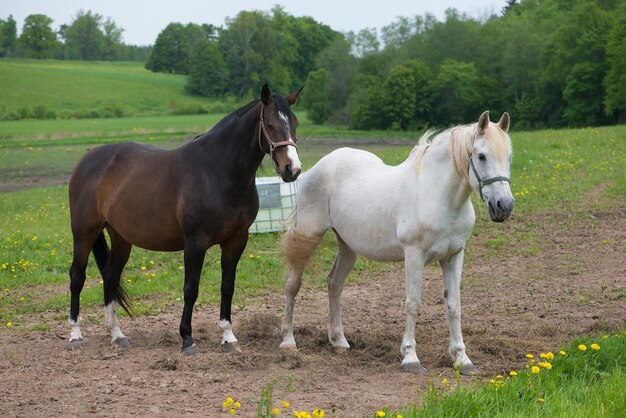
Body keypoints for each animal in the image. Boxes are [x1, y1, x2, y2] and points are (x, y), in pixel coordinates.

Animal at [67, 85, 302, 356]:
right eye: (270, 124)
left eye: (295, 123)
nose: (292, 169)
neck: (218, 172)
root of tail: (87, 159)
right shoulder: (195, 243)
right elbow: (191, 289)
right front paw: (187, 339)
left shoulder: (236, 241)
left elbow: (228, 287)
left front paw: (228, 337)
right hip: (84, 231)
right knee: (77, 276)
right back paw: (75, 335)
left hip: (121, 237)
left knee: (110, 275)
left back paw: (117, 335)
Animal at [278, 110, 512, 372]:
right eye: (481, 156)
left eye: (509, 156)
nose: (504, 206)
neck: (438, 195)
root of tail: (315, 168)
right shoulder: (414, 255)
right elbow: (413, 303)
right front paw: (410, 358)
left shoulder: (454, 256)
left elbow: (454, 306)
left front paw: (462, 359)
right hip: (308, 235)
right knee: (292, 284)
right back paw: (288, 341)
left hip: (348, 247)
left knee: (334, 284)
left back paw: (339, 341)